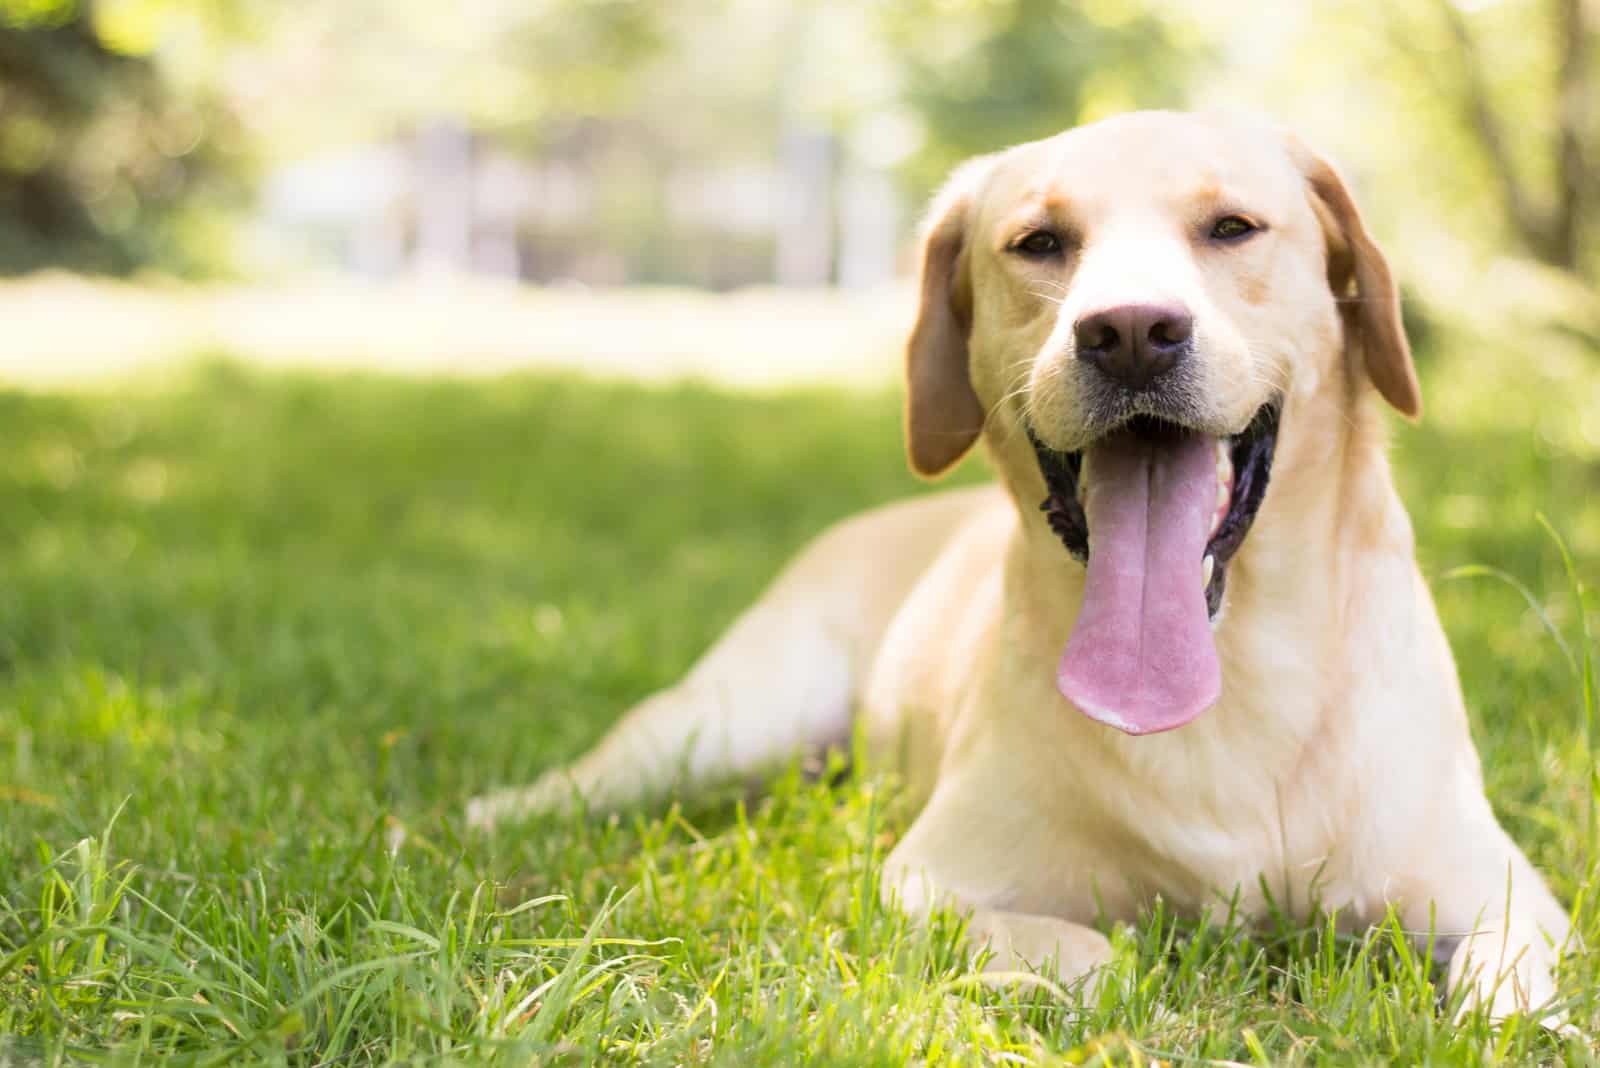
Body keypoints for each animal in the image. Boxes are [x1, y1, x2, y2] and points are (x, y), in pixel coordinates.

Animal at [467, 112, 1568, 1023]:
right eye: (1039, 243)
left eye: (1231, 228)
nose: (1131, 333)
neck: (1228, 679)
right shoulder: (924, 880)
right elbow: (1098, 956)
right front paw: (1045, 982)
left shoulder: (1506, 896)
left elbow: (1512, 1001)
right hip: (724, 720)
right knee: (584, 784)